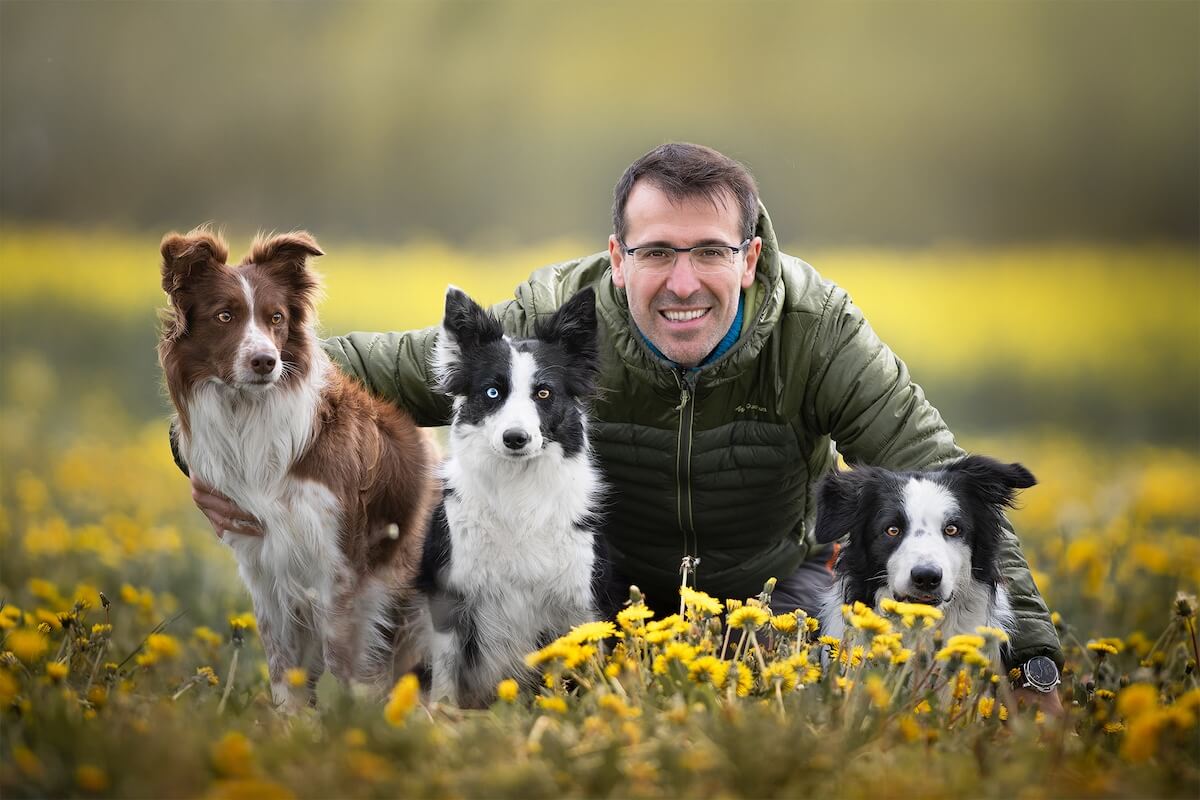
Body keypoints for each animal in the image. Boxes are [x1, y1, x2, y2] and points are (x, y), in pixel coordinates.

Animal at [158, 227, 436, 710]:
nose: (266, 362)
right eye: (224, 316)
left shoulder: (339, 566)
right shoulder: (263, 564)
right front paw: (292, 723)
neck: (248, 414)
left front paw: (352, 721)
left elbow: (343, 662)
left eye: (276, 318)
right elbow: (282, 666)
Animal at [420, 286, 609, 705]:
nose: (515, 438)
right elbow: (446, 674)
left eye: (544, 392)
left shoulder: (578, 603)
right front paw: (443, 714)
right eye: (492, 392)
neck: (517, 489)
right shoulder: (451, 596)